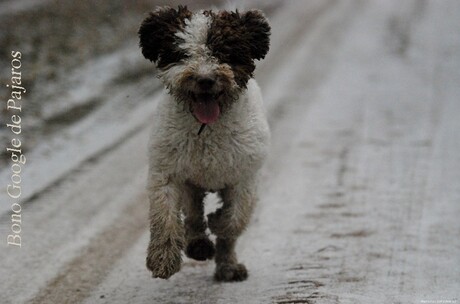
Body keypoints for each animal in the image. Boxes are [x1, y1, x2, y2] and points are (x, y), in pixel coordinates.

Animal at [138, 5, 272, 282]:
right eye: (183, 53)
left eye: (223, 52)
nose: (205, 79)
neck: (208, 131)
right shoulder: (168, 170)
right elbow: (165, 214)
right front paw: (162, 259)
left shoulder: (245, 176)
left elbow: (235, 219)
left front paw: (218, 220)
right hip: (192, 181)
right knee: (192, 216)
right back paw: (198, 245)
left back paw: (228, 266)